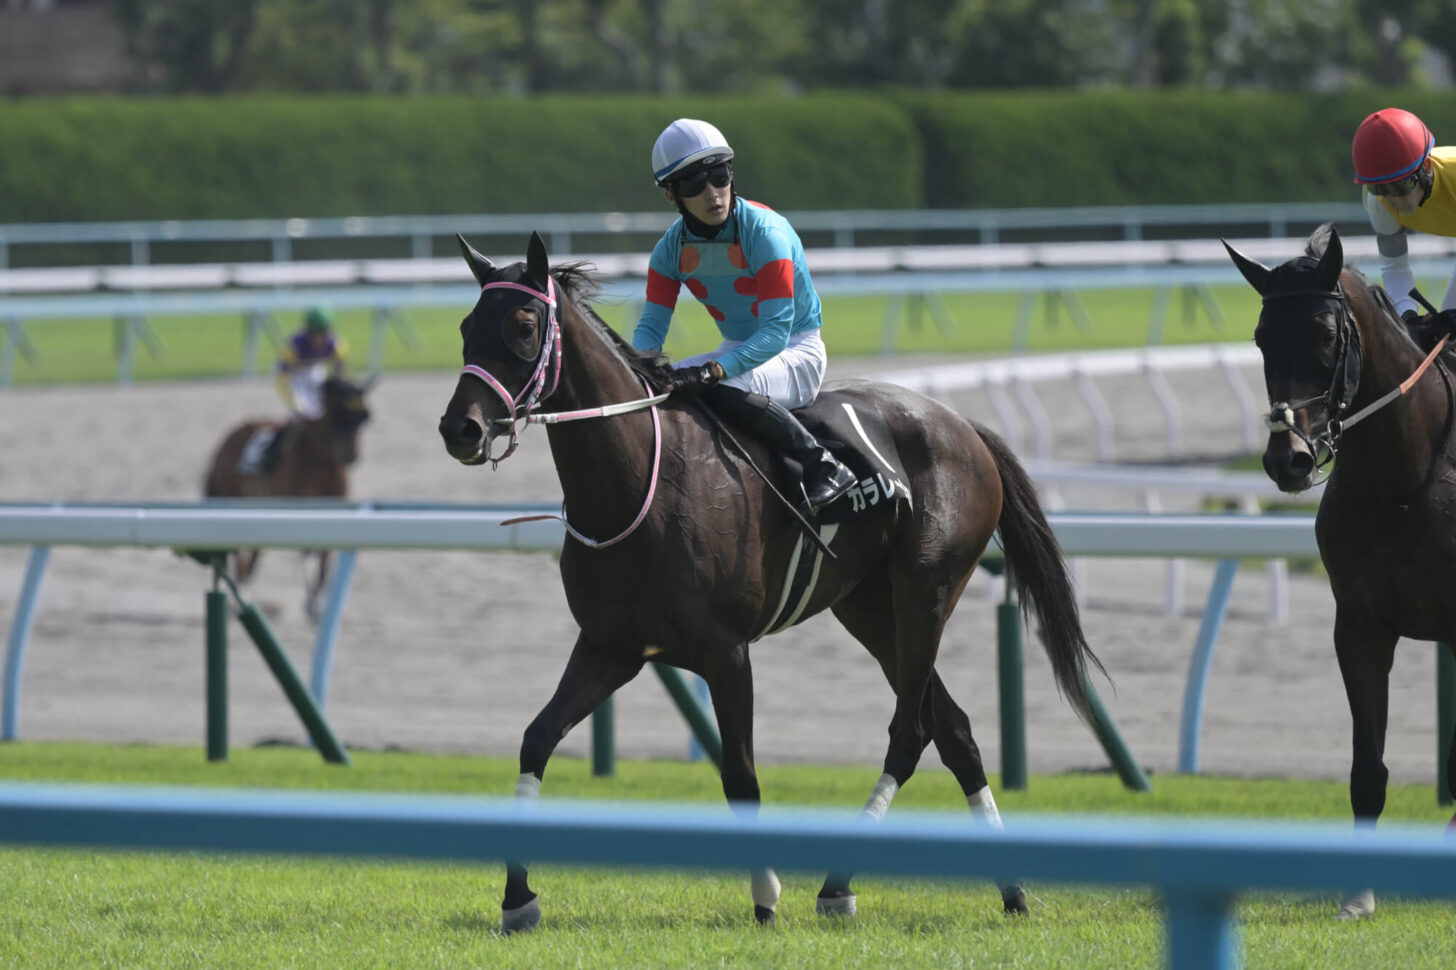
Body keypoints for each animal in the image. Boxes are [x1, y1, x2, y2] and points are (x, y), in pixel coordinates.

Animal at [206, 372, 375, 614]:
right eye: (336, 412)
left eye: (364, 417)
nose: (351, 455)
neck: (322, 463)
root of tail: (228, 438)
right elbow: (307, 551)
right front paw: (311, 603)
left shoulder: (333, 509)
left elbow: (325, 556)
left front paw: (318, 600)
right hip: (230, 497)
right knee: (237, 549)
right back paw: (243, 589)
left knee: (256, 550)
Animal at [430, 230, 1100, 932]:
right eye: (466, 326)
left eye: (524, 326)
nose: (460, 429)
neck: (638, 484)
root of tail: (964, 427)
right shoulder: (610, 647)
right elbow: (536, 740)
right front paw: (517, 897)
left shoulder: (726, 653)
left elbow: (742, 777)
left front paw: (765, 896)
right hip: (870, 610)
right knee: (956, 732)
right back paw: (1007, 890)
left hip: (925, 593)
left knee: (910, 732)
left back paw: (840, 885)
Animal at [1228, 222, 1456, 920]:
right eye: (1260, 337)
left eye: (1327, 336)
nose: (1289, 460)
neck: (1403, 480)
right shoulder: (1359, 625)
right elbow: (1367, 770)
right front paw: (1358, 893)